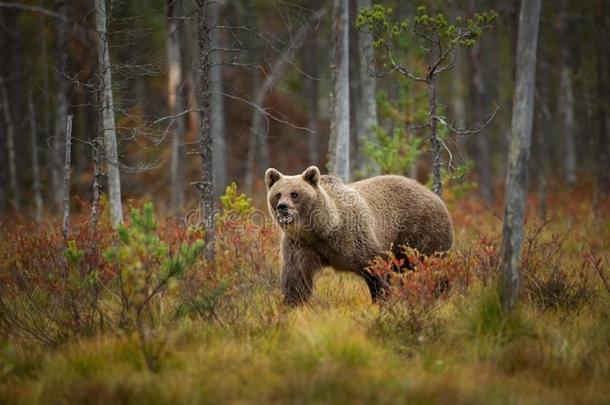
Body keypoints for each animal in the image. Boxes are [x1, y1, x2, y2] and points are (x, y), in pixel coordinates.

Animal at [266, 166, 452, 304]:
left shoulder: (354, 237)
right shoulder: (300, 244)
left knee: (431, 264)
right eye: (278, 194)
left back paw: (441, 294)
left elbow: (375, 269)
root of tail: (434, 195)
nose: (282, 207)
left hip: (420, 232)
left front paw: (381, 300)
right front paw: (292, 304)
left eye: (295, 194)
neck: (322, 230)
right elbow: (296, 275)